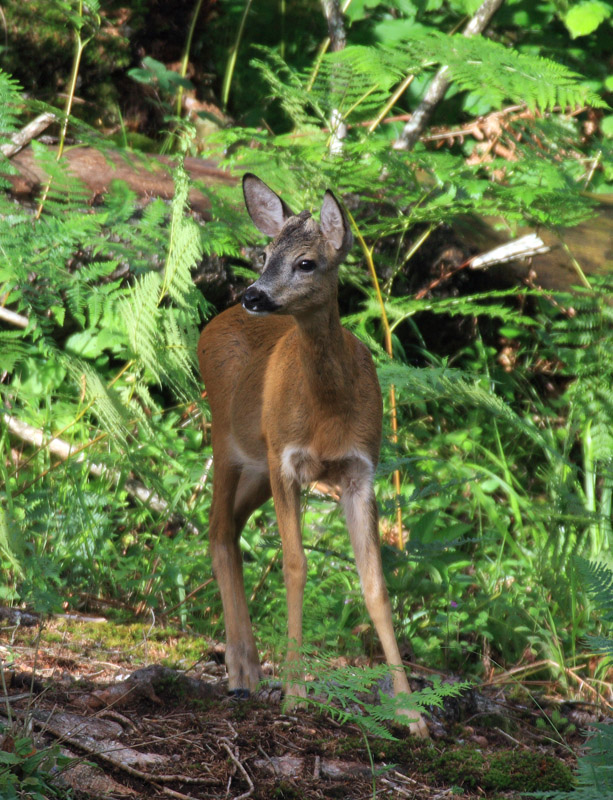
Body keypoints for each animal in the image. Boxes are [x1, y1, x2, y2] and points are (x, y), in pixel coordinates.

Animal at [198, 175, 428, 736]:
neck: (326, 414)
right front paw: (296, 695)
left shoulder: (359, 470)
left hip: (257, 466)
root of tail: (213, 322)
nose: (253, 294)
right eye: (263, 255)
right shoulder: (287, 462)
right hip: (229, 441)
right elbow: (296, 564)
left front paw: (413, 715)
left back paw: (249, 668)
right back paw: (243, 672)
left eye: (307, 263)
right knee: (218, 532)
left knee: (230, 529)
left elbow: (377, 586)